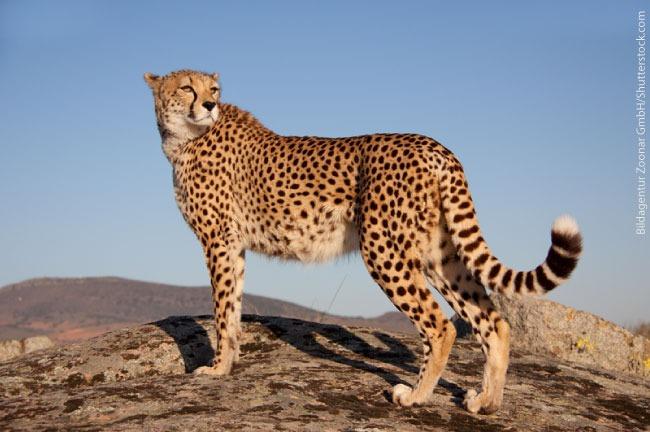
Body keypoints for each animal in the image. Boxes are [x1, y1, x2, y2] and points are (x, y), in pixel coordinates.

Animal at [144, 69, 582, 414]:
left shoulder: (218, 241)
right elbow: (232, 309)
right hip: (437, 254)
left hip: (383, 249)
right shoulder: (232, 247)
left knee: (441, 326)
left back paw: (415, 396)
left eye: (213, 89)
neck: (186, 137)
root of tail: (437, 148)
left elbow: (222, 311)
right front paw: (229, 364)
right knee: (493, 321)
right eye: (187, 87)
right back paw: (487, 402)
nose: (210, 105)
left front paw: (216, 369)